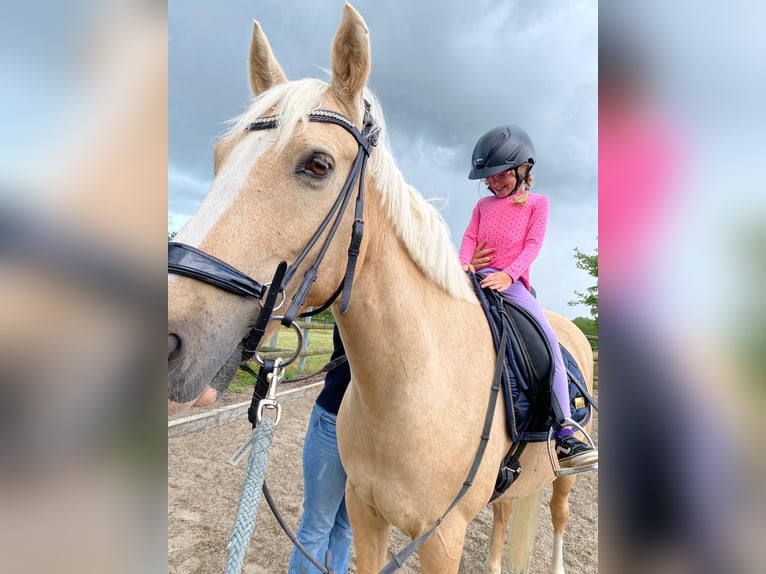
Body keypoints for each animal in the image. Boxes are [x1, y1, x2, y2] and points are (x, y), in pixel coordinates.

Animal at [168, 3, 596, 572]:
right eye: (219, 158)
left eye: (318, 164)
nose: (169, 339)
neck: (410, 389)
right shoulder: (364, 513)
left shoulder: (441, 539)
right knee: (506, 516)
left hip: (566, 479)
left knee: (558, 517)